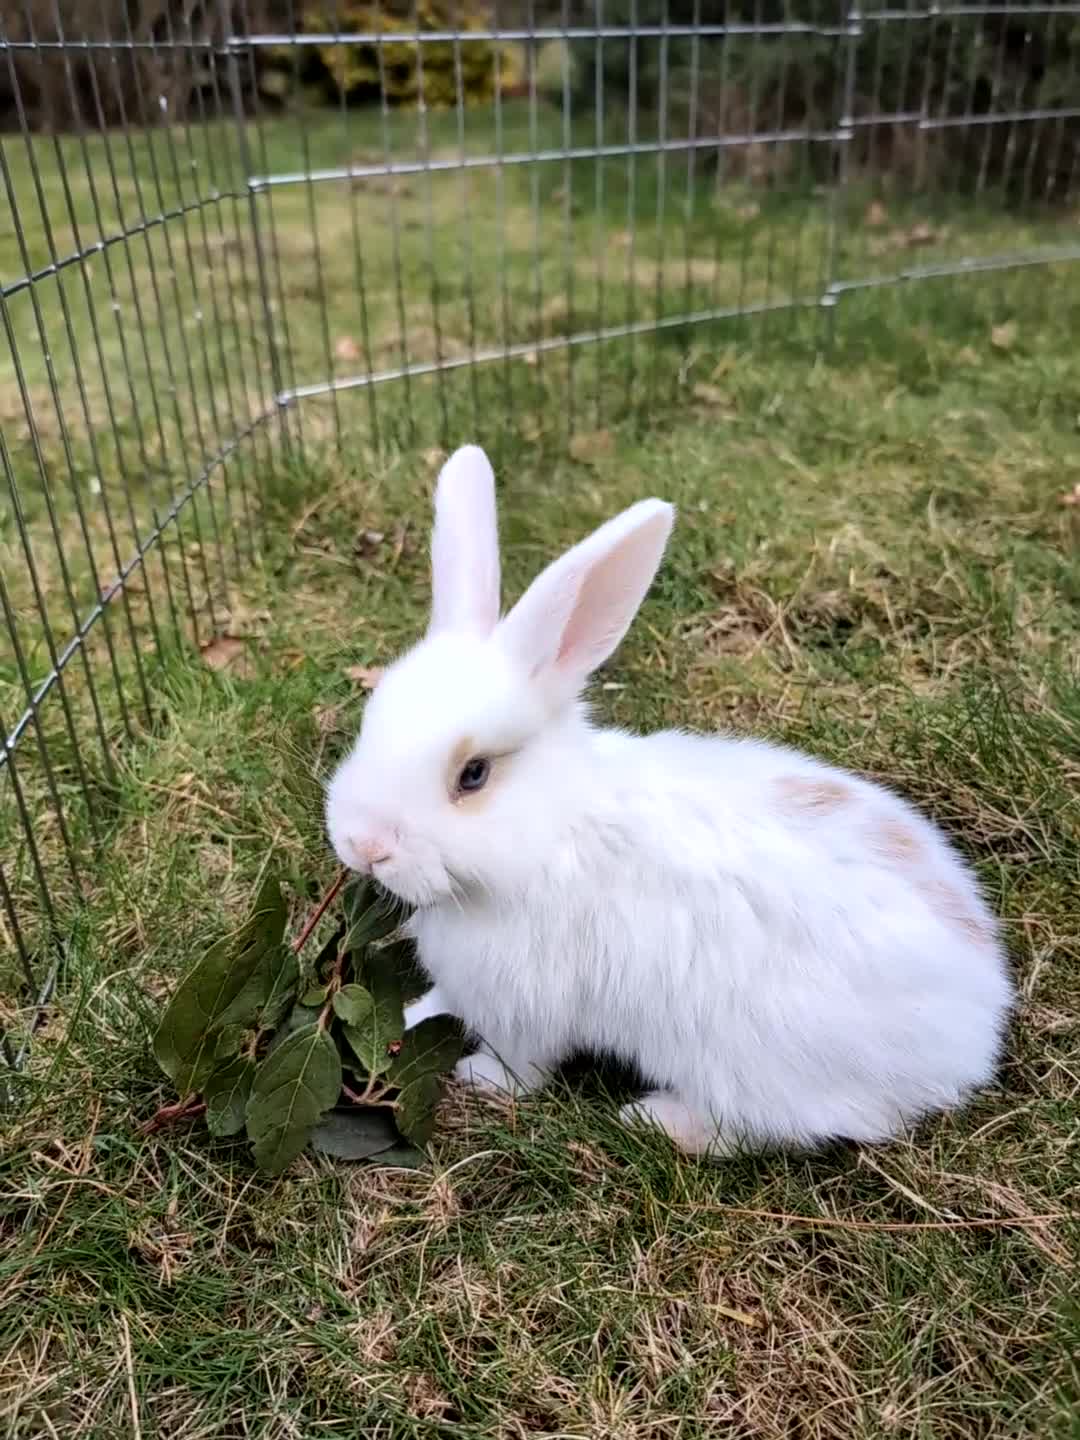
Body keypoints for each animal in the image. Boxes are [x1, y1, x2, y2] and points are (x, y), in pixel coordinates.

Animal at [325, 445, 1014, 1154]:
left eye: (473, 775)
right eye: (370, 721)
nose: (362, 844)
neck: (553, 832)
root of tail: (976, 1032)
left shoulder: (531, 1005)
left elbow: (523, 1063)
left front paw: (478, 1077)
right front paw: (416, 1011)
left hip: (750, 1065)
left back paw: (655, 1119)